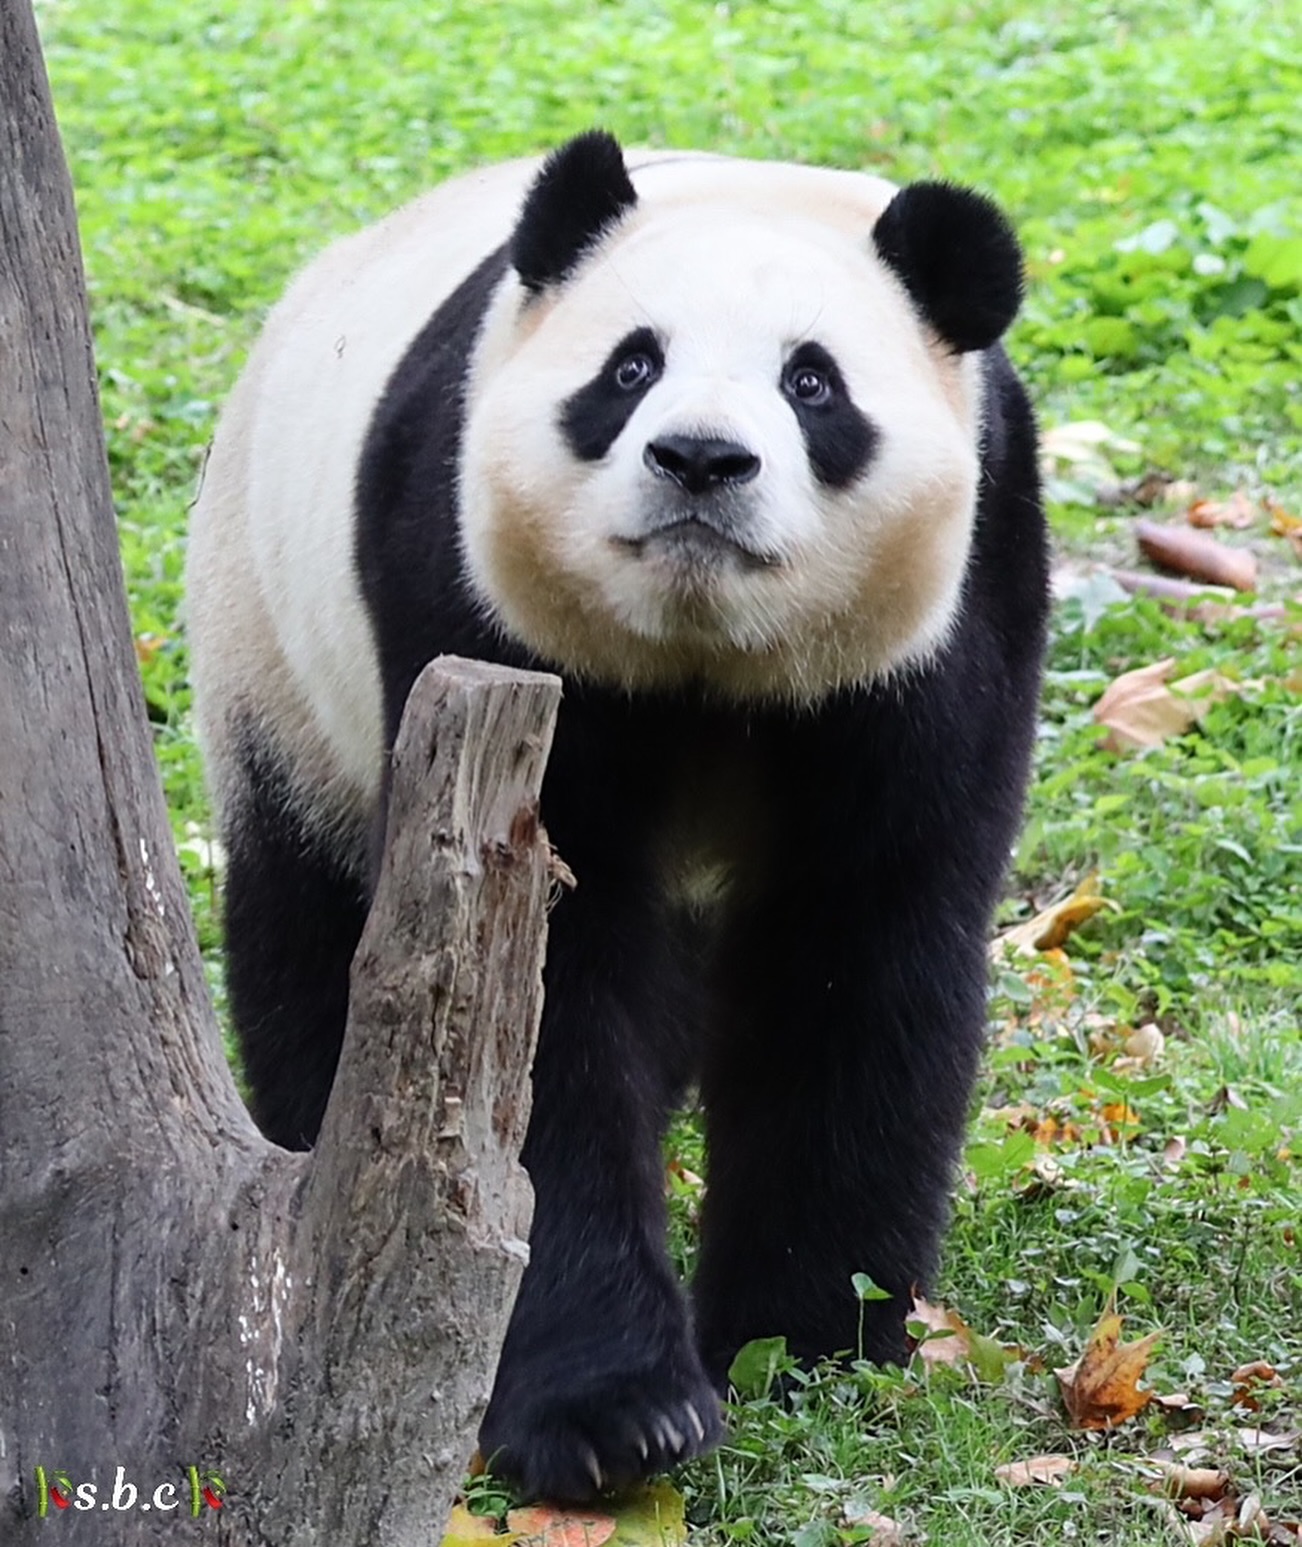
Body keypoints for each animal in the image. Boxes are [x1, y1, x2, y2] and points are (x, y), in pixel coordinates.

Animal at [187, 129, 1051, 1497]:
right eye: (631, 365)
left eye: (814, 383)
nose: (700, 459)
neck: (707, 657)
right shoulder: (482, 612)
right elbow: (535, 1004)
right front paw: (613, 1416)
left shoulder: (948, 625)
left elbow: (860, 951)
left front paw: (808, 1341)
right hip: (271, 656)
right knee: (310, 925)